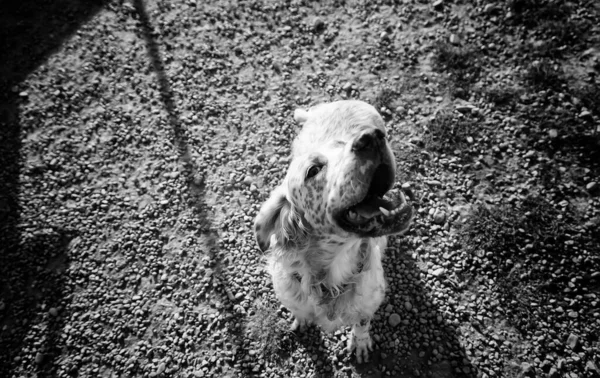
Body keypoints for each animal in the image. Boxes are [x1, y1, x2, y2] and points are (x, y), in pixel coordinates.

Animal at [253, 99, 412, 364]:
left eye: (342, 143)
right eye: (313, 170)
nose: (371, 137)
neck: (330, 276)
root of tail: (341, 101)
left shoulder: (369, 301)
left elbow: (361, 323)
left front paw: (359, 343)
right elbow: (300, 311)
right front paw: (302, 322)